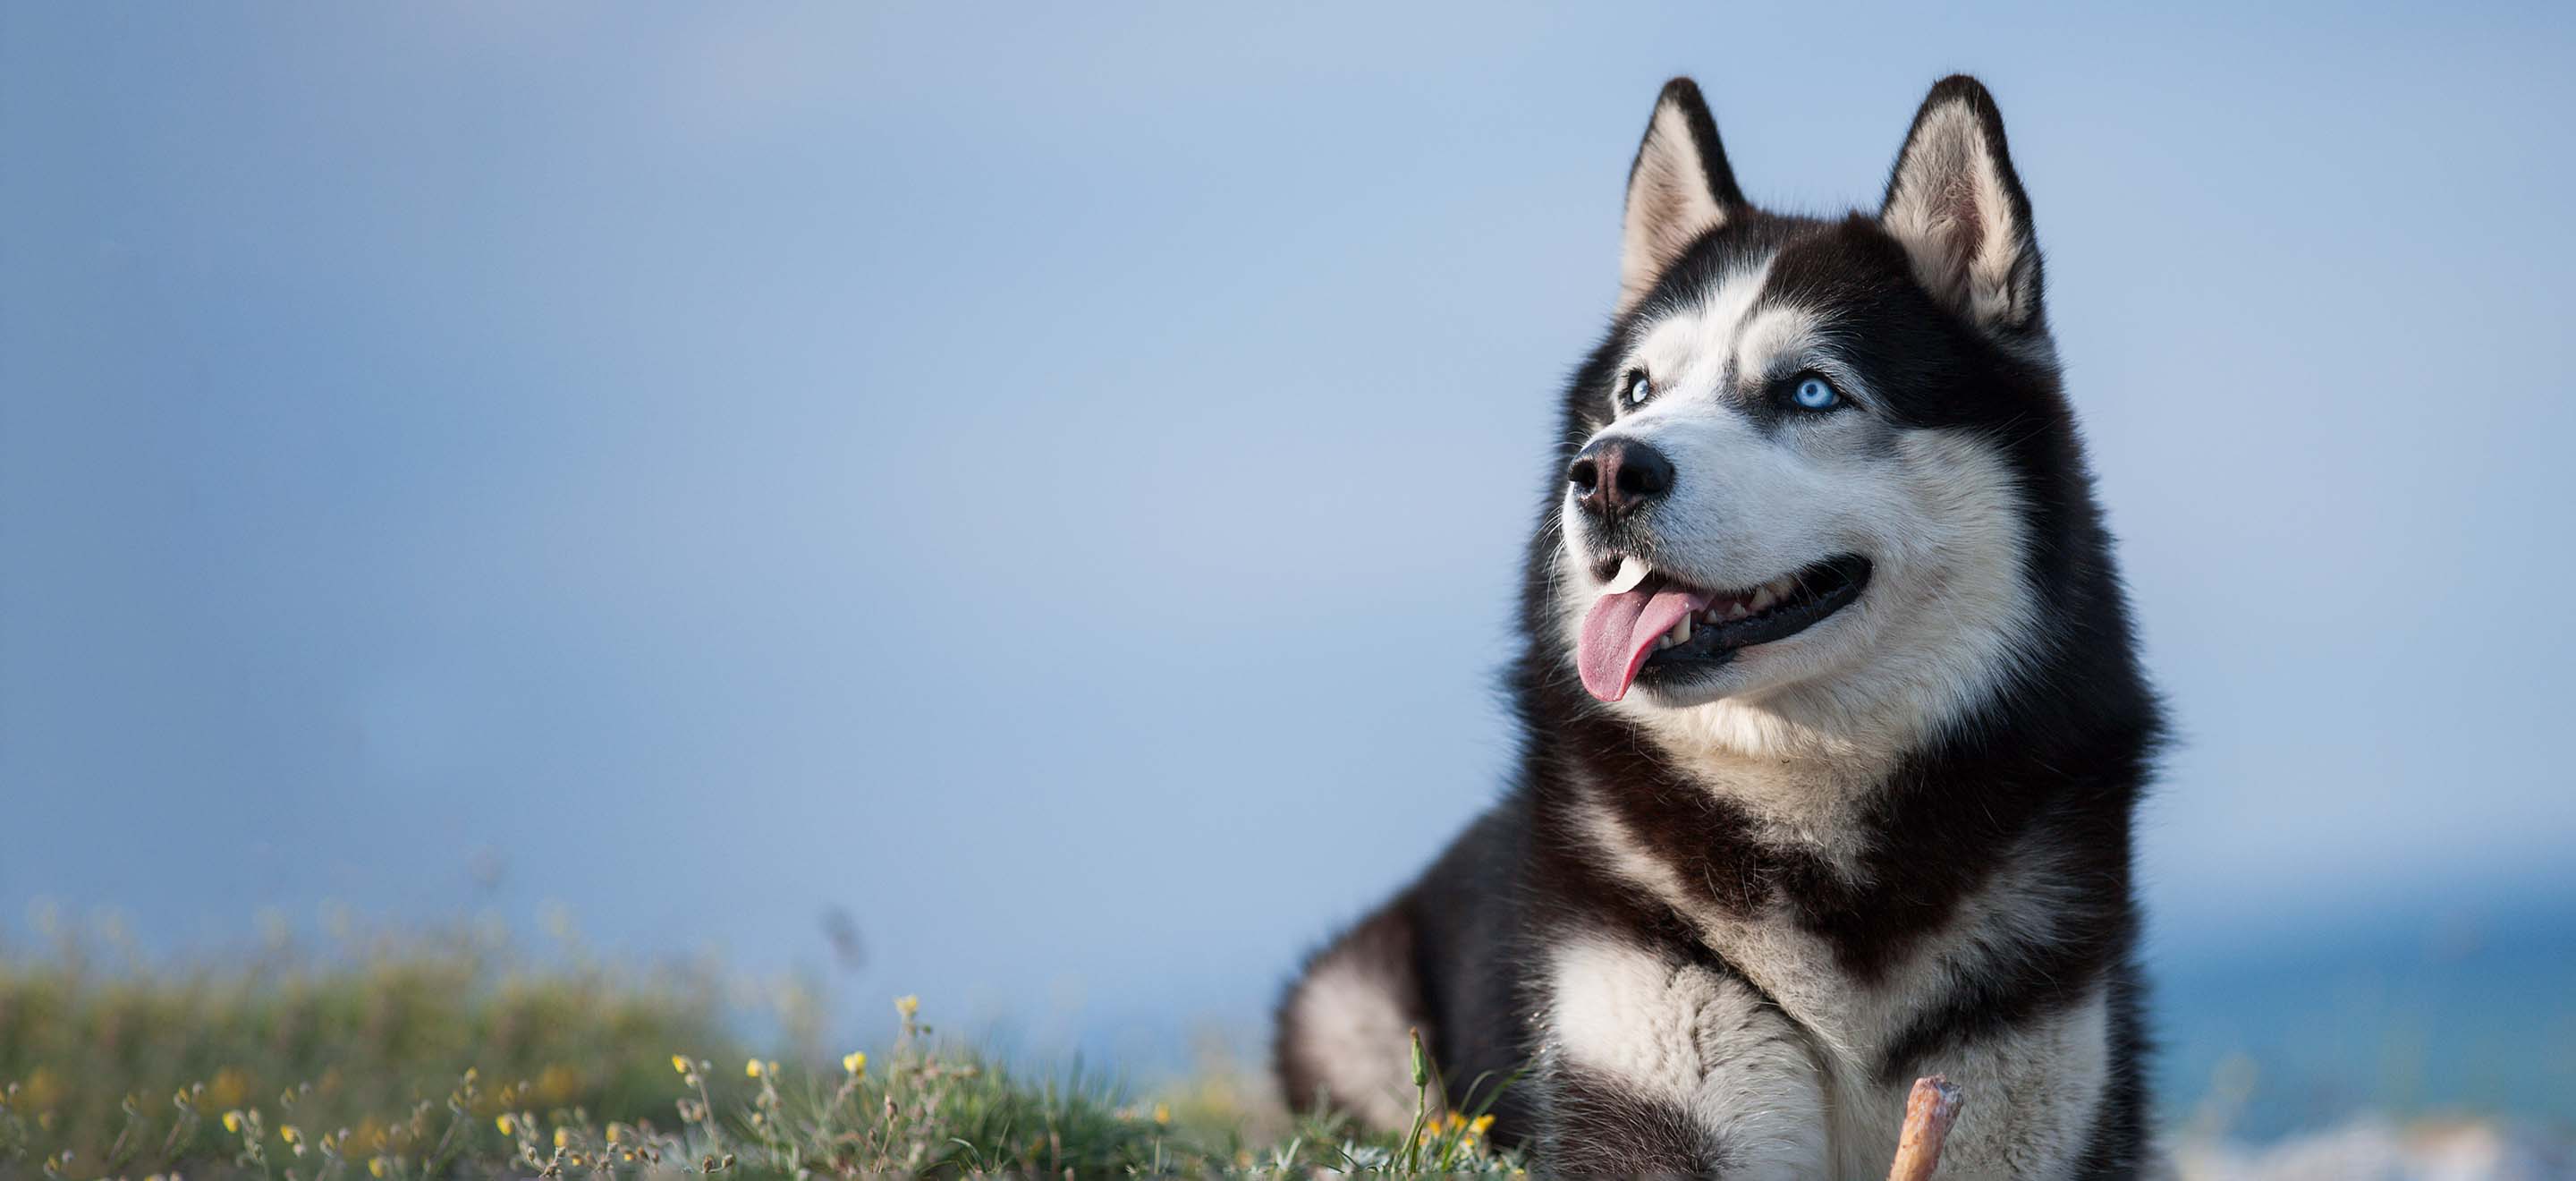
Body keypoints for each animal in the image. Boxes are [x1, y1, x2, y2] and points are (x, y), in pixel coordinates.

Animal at [1277, 78, 2164, 1176]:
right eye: (1637, 390)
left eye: (1811, 390)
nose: (1608, 470)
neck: (1816, 819)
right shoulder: (1653, 1062)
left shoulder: (2025, 1084)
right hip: (1350, 1011)